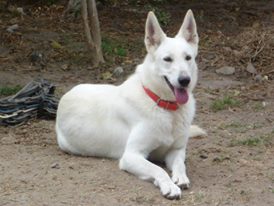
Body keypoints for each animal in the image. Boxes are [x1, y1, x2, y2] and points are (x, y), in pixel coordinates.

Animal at [55, 10, 206, 200]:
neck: (163, 106)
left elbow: (180, 165)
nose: (185, 80)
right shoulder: (131, 156)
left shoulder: (176, 150)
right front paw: (169, 186)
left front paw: (180, 177)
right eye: (167, 59)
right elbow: (158, 169)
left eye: (188, 58)